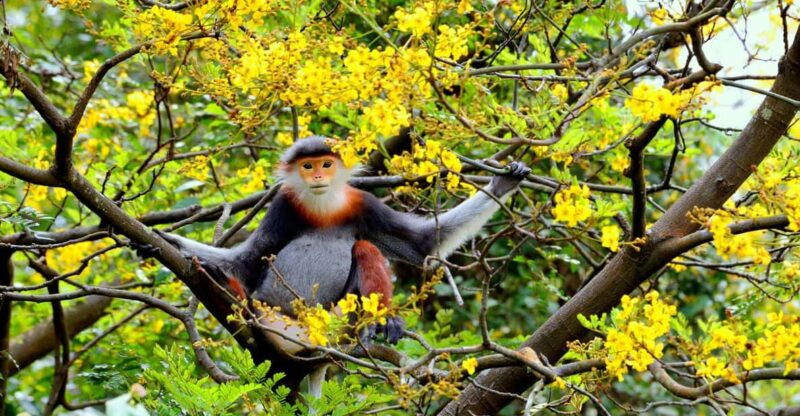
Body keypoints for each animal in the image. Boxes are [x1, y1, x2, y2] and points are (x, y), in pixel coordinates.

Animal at [155, 136, 530, 349]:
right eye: (307, 166)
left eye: (326, 163)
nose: (319, 175)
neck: (324, 208)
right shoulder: (284, 206)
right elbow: (247, 259)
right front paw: (161, 239)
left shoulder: (363, 204)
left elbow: (423, 244)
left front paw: (503, 183)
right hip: (269, 312)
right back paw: (225, 287)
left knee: (365, 249)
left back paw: (381, 322)